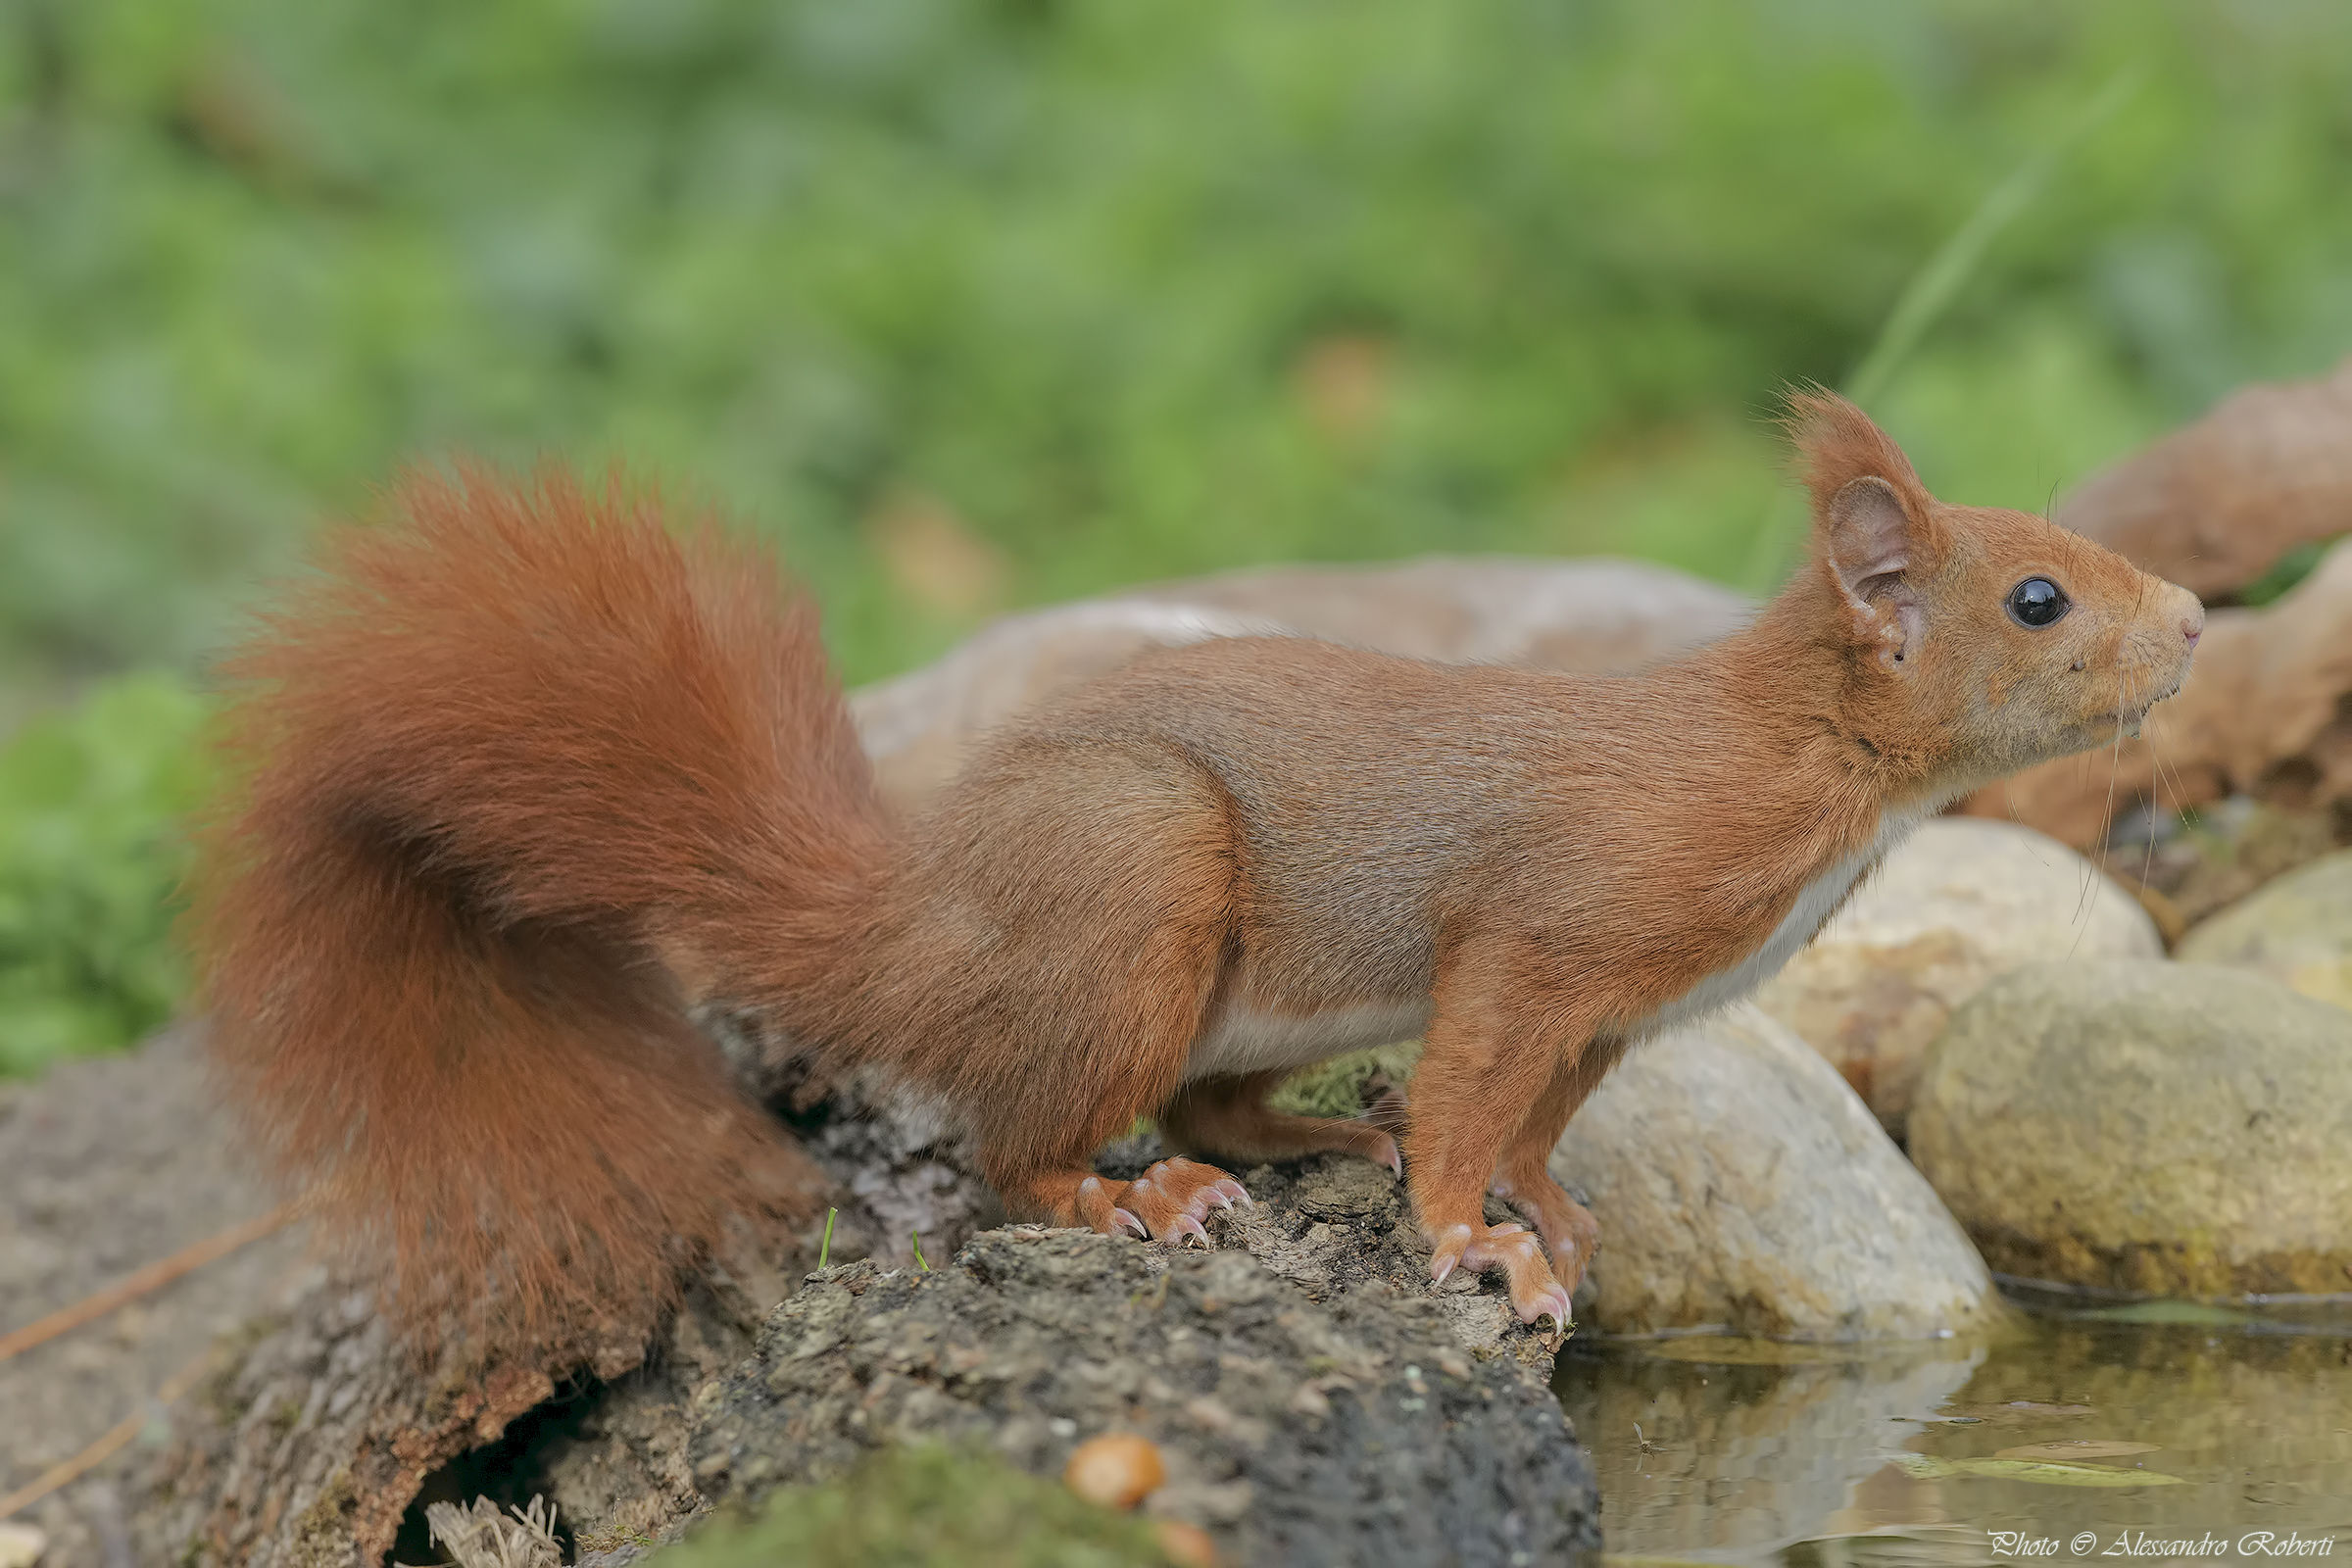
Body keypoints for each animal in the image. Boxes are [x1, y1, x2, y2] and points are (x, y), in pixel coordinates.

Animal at [191, 393, 2203, 1350]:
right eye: (2038, 598)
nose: (2194, 620)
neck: (1811, 785)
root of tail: (933, 926)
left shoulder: (1626, 1014)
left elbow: (1542, 1120)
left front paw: (1554, 1215)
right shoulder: (1548, 935)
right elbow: (1479, 1088)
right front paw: (1474, 1235)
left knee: (1218, 1106)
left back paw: (1316, 1139)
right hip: (1141, 883)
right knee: (1018, 1151)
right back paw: (1135, 1202)